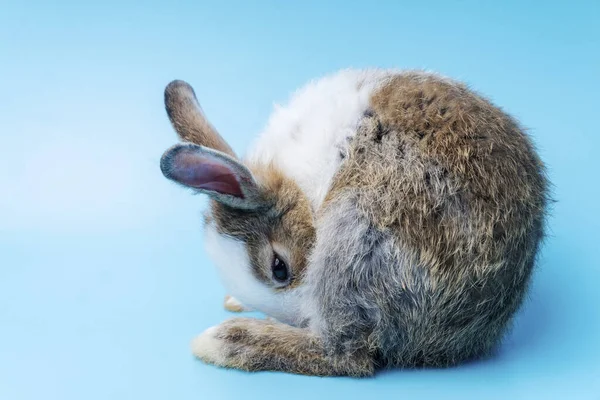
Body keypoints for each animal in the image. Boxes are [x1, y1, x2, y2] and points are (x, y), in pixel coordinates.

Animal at [159, 69, 548, 378]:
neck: (301, 190)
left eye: (279, 268)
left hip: (354, 236)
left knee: (346, 355)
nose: (301, 318)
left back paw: (226, 341)